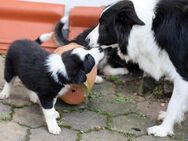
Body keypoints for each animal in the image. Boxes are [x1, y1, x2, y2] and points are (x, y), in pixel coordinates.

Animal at [86, 0, 188, 137]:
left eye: (102, 23)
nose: (86, 40)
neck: (150, 27)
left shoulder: (183, 75)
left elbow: (173, 104)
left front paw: (163, 129)